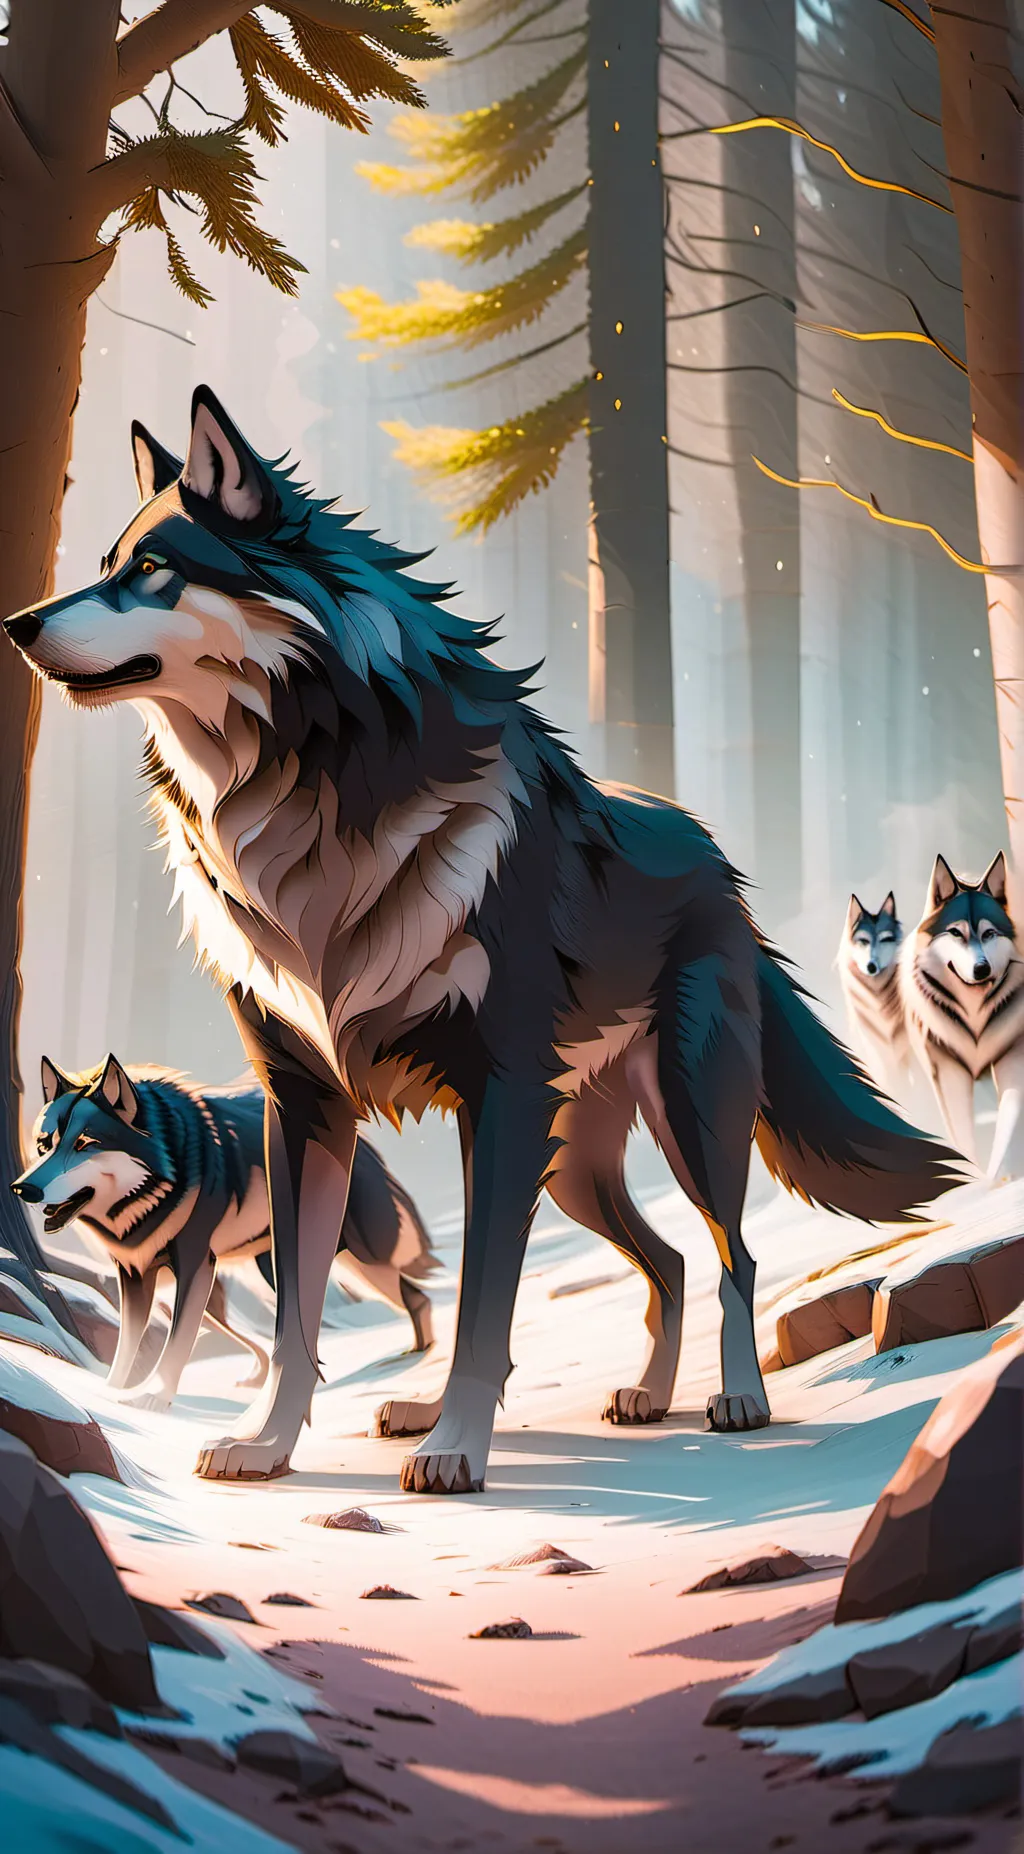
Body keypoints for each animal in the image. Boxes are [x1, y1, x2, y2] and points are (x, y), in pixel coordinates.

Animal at [11, 1056, 436, 1408]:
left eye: (84, 1143)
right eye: (44, 1145)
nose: (22, 1188)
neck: (162, 1180)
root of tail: (363, 1147)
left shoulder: (194, 1268)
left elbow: (175, 1344)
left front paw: (152, 1399)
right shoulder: (136, 1275)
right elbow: (126, 1348)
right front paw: (109, 1392)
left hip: (359, 1263)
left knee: (417, 1298)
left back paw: (418, 1355)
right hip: (255, 1280)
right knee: (270, 1337)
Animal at [902, 853, 1024, 1178]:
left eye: (989, 933)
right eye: (956, 932)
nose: (982, 969)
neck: (975, 1019)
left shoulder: (1012, 1058)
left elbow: (1009, 1122)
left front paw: (1002, 1171)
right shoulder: (946, 1071)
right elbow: (963, 1136)